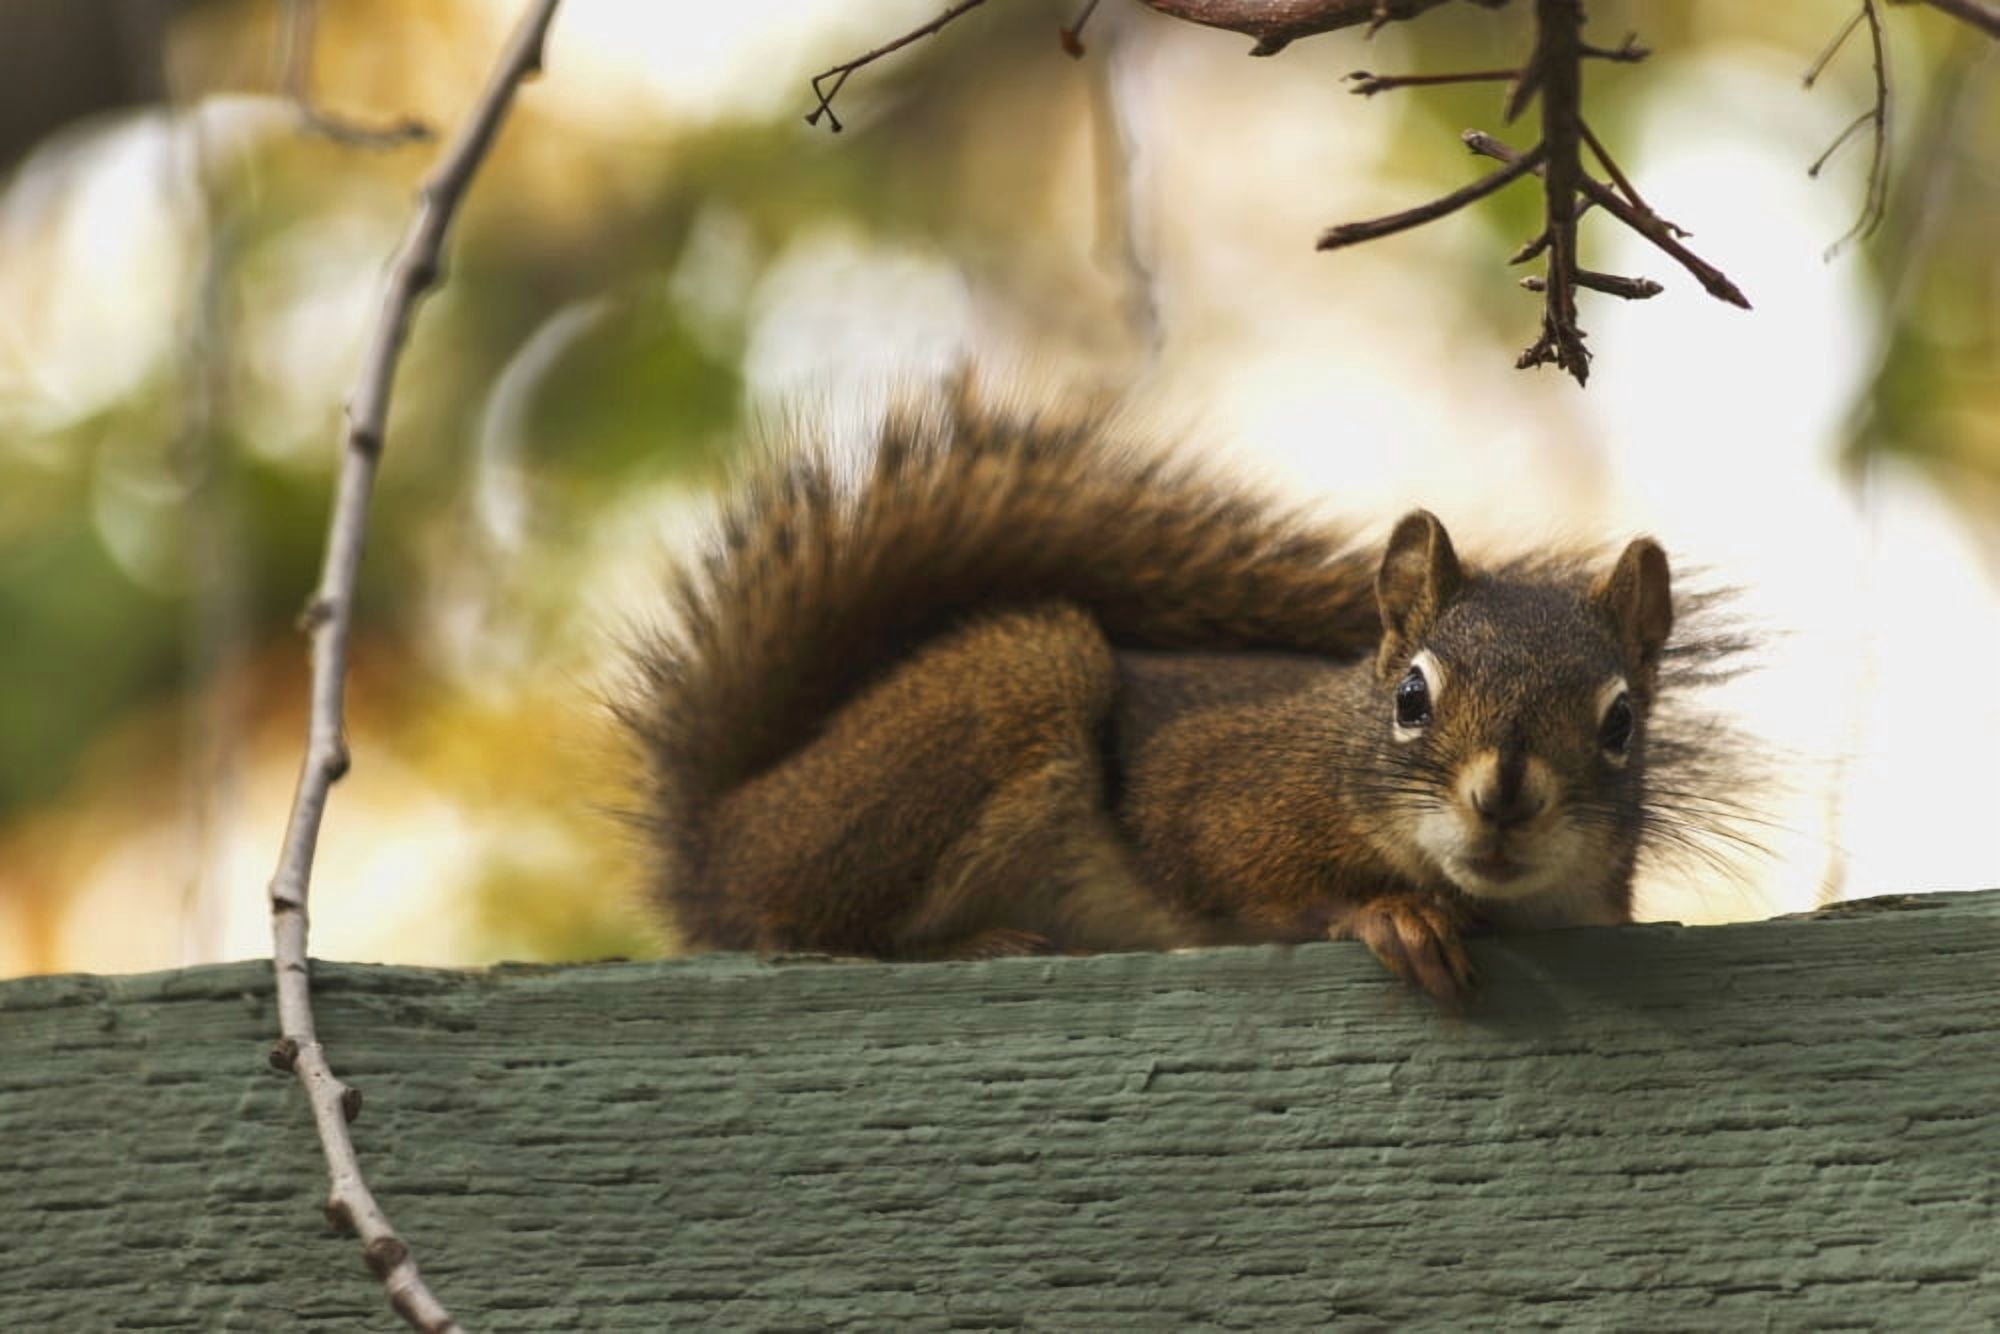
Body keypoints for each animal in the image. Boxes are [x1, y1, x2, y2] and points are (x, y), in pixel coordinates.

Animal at [620, 389, 1751, 1005]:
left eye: (1620, 721)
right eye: (1410, 697)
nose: (1505, 797)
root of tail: (721, 827)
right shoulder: (1217, 787)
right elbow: (1229, 863)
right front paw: (1391, 915)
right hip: (1003, 698)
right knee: (800, 925)